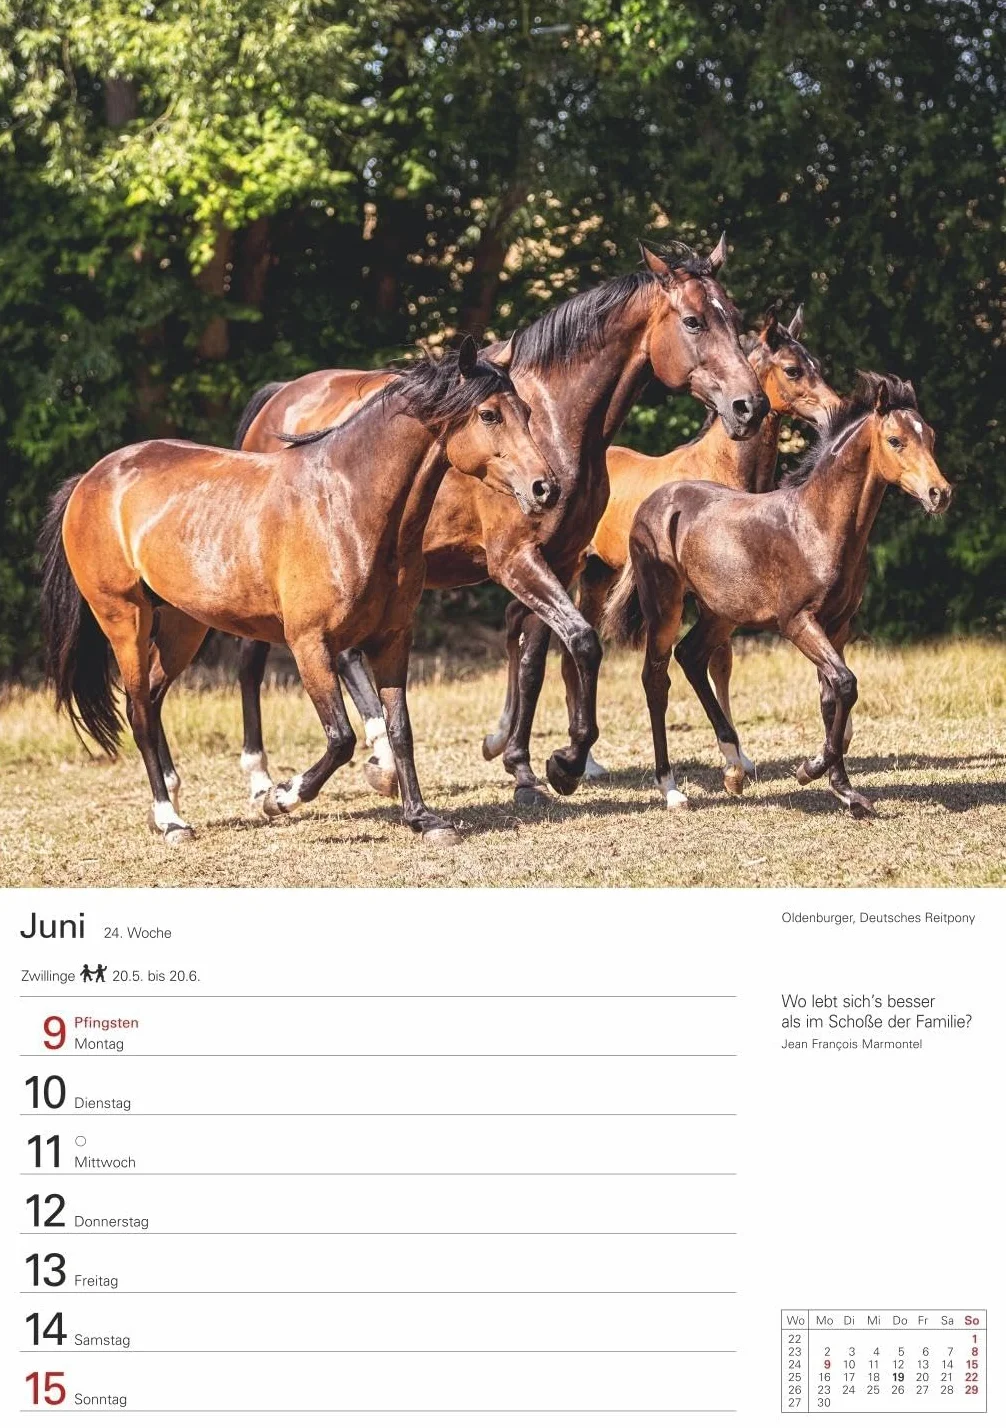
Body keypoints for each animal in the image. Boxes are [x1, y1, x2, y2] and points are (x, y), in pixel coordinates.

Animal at [39, 340, 557, 846]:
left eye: (527, 410)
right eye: (489, 414)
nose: (544, 488)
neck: (348, 505)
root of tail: (90, 479)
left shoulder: (392, 640)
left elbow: (400, 729)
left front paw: (423, 819)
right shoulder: (310, 644)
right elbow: (341, 738)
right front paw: (279, 798)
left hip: (182, 626)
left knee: (150, 697)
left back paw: (168, 798)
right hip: (124, 619)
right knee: (139, 710)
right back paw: (171, 821)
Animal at [230, 237, 768, 808]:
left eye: (735, 318)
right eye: (692, 321)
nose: (749, 407)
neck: (553, 418)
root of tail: (280, 397)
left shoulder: (559, 561)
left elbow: (534, 662)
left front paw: (526, 769)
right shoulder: (516, 560)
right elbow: (583, 642)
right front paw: (566, 763)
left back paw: (380, 761)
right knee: (254, 658)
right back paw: (266, 778)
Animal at [579, 305, 840, 790]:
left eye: (818, 364)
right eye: (793, 369)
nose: (835, 410)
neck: (721, 466)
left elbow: (721, 663)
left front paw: (741, 758)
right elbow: (709, 660)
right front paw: (729, 758)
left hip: (597, 575)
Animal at [601, 373, 953, 817]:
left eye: (932, 437)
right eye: (895, 441)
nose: (940, 494)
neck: (816, 525)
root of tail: (652, 503)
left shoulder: (837, 626)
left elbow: (832, 700)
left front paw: (844, 790)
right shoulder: (798, 622)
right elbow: (846, 684)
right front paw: (811, 771)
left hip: (721, 614)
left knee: (692, 657)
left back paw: (734, 767)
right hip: (666, 607)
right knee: (656, 679)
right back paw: (672, 789)